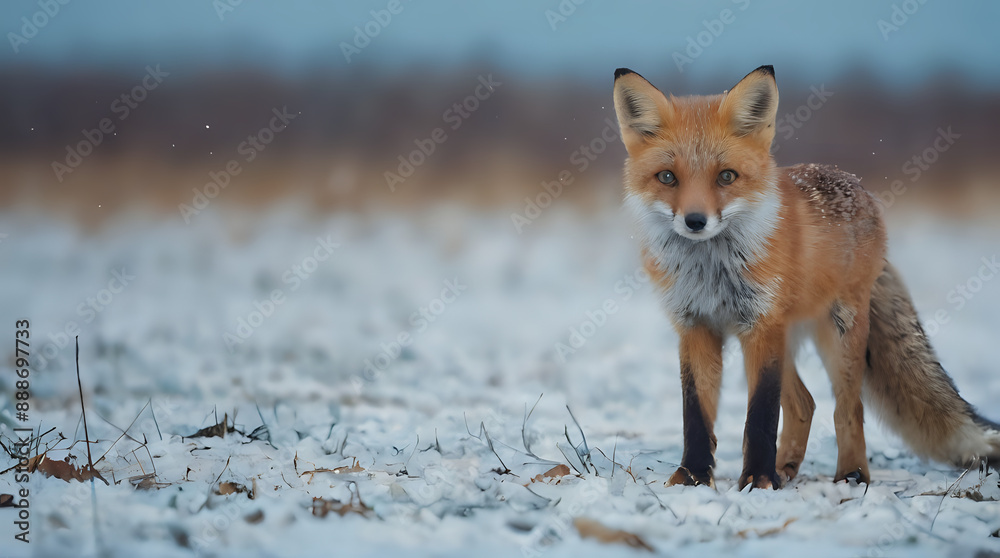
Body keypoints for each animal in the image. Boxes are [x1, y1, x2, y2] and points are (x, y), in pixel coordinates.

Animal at [611, 64, 1000, 489]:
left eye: (726, 177)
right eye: (667, 177)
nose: (695, 221)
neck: (711, 272)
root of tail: (856, 184)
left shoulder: (761, 327)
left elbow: (760, 417)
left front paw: (757, 481)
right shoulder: (695, 325)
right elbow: (695, 415)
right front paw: (693, 478)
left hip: (838, 335)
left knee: (848, 409)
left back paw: (851, 474)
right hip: (785, 339)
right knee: (805, 403)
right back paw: (786, 468)